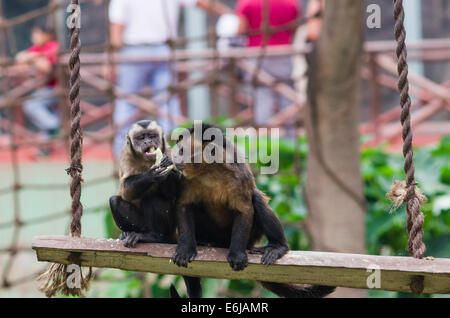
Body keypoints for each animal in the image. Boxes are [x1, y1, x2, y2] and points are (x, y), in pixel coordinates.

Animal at [108, 120, 201, 300]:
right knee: (115, 200)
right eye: (141, 138)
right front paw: (152, 174)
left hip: (170, 228)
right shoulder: (125, 154)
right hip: (141, 224)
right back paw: (130, 234)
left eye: (152, 136)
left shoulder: (169, 151)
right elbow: (125, 190)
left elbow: (175, 193)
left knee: (155, 198)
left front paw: (168, 169)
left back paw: (156, 237)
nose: (148, 142)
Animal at [171, 124, 336, 298]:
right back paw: (206, 242)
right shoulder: (186, 179)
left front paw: (237, 255)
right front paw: (186, 249)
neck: (209, 169)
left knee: (256, 198)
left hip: (251, 236)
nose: (174, 156)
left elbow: (244, 210)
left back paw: (278, 246)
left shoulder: (238, 175)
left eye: (181, 151)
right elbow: (184, 205)